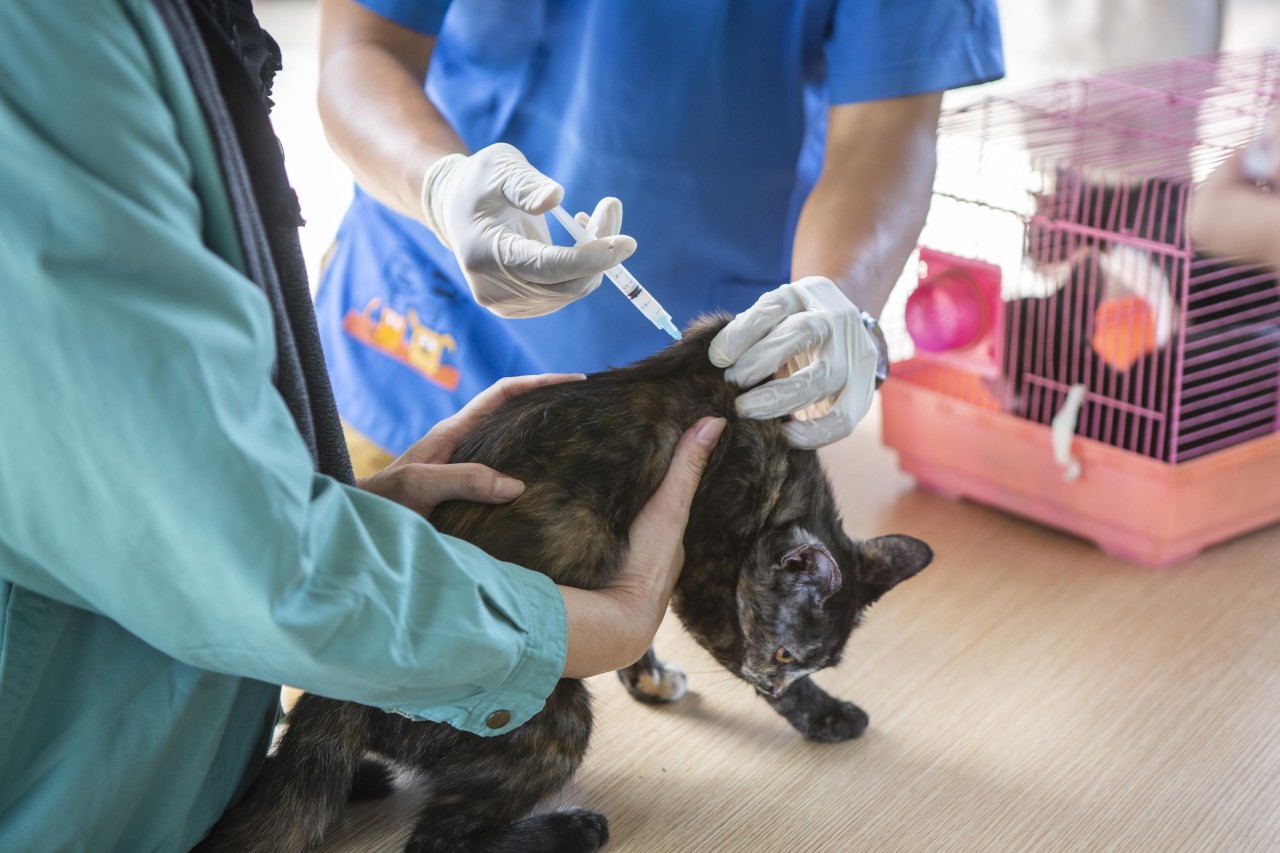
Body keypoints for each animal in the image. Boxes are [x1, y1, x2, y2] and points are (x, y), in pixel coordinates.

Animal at [204, 315, 936, 850]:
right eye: (785, 654)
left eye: (813, 657)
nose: (776, 680)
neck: (787, 481)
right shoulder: (706, 579)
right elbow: (722, 640)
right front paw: (820, 712)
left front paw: (649, 677)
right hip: (554, 718)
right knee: (437, 841)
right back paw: (572, 827)